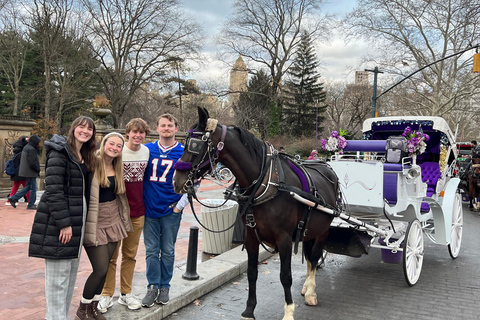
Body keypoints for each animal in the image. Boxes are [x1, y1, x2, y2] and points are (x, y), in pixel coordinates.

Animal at [172, 107, 342, 320]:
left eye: (195, 145)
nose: (176, 181)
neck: (266, 183)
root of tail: (327, 167)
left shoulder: (284, 239)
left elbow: (285, 276)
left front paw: (288, 311)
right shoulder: (251, 236)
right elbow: (252, 272)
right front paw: (249, 310)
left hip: (323, 231)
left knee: (315, 255)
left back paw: (311, 292)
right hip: (309, 230)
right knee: (311, 258)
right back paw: (306, 288)